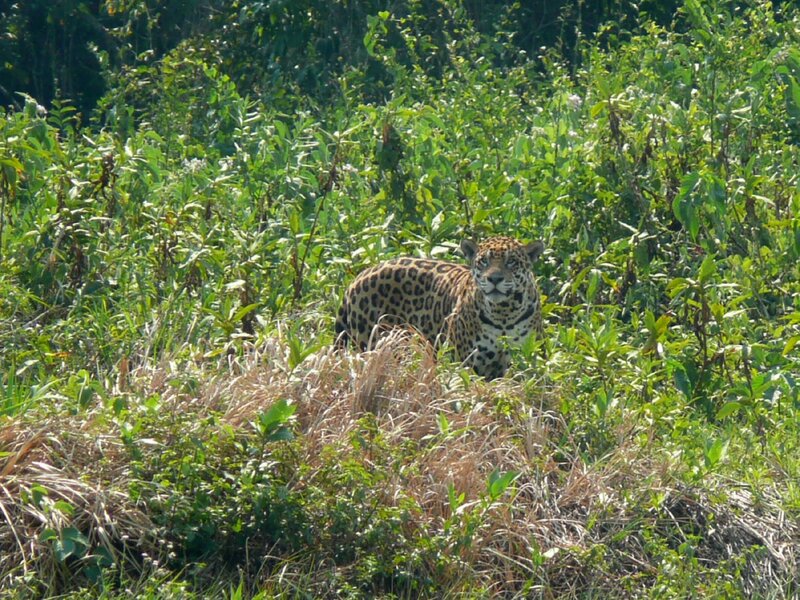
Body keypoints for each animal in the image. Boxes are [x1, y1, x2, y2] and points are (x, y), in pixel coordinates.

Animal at [334, 236, 545, 379]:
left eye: (511, 262)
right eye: (483, 261)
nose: (494, 279)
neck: (504, 314)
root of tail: (358, 277)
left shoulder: (522, 360)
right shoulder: (466, 362)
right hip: (374, 344)